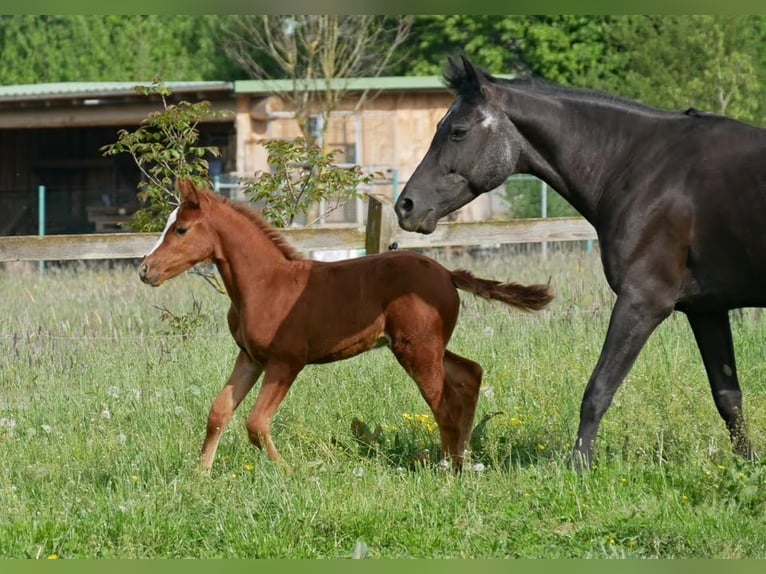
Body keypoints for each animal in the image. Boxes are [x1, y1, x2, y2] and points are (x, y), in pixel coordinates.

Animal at [396, 56, 766, 472]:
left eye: (458, 131)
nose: (405, 206)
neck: (643, 168)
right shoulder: (708, 310)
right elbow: (728, 396)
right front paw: (748, 464)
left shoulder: (643, 302)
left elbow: (598, 389)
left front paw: (579, 466)